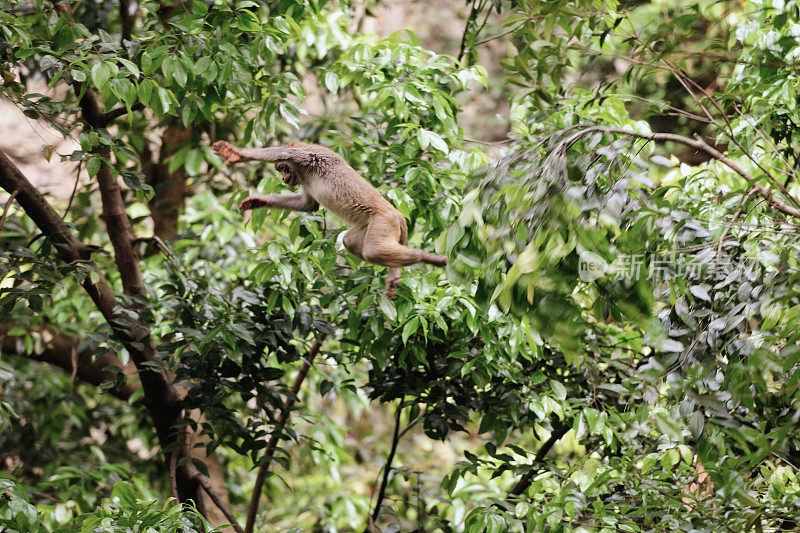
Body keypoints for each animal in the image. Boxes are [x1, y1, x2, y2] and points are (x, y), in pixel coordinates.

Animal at [212, 139, 446, 298]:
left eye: (283, 167)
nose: (284, 178)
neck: (303, 172)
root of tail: (396, 214)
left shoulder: (312, 154)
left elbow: (285, 152)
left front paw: (236, 153)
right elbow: (308, 204)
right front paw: (258, 201)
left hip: (383, 221)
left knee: (373, 250)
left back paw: (421, 257)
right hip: (372, 226)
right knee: (352, 242)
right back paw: (394, 270)